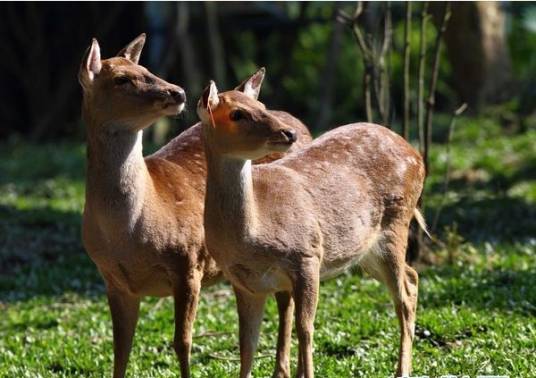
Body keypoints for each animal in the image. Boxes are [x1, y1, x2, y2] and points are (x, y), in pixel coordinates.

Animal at [76, 35, 310, 378]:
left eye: (148, 69)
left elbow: (182, 342)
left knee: (286, 301)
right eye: (121, 79)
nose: (178, 92)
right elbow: (120, 347)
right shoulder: (113, 279)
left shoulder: (188, 261)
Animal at [197, 82, 428, 378]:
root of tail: (417, 155)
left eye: (261, 106)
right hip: (367, 250)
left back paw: (402, 371)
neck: (252, 236)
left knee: (405, 294)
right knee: (412, 276)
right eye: (237, 114)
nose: (288, 132)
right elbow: (246, 343)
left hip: (396, 223)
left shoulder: (306, 255)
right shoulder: (244, 282)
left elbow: (305, 327)